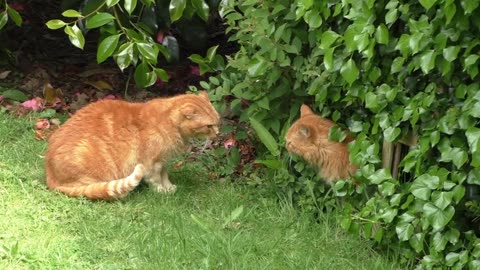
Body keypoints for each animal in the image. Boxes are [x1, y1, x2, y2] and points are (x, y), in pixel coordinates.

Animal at [44, 92, 220, 199]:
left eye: (217, 122)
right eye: (209, 126)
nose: (218, 133)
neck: (169, 123)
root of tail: (51, 179)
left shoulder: (162, 161)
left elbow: (165, 176)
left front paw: (169, 187)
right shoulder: (151, 163)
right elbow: (156, 179)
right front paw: (161, 191)